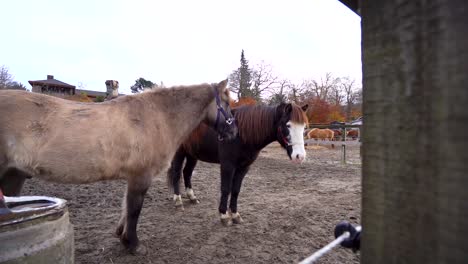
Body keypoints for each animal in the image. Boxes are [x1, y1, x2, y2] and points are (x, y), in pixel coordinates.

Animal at [0, 79, 236, 253]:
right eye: (227, 103)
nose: (234, 133)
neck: (156, 117)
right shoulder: (140, 176)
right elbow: (134, 210)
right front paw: (133, 244)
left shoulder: (133, 177)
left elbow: (126, 207)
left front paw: (122, 236)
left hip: (13, 175)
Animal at [166, 102, 308, 225]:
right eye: (288, 125)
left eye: (304, 127)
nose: (299, 156)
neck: (240, 134)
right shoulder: (228, 166)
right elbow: (225, 188)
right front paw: (224, 216)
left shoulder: (243, 167)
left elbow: (235, 190)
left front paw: (235, 215)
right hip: (179, 153)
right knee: (177, 174)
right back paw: (178, 201)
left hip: (192, 154)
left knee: (187, 172)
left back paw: (192, 197)